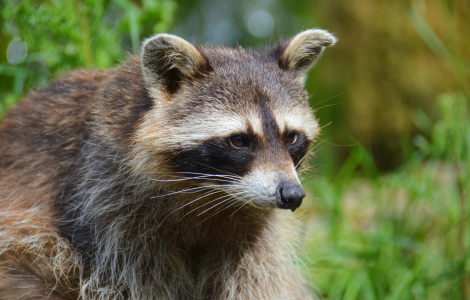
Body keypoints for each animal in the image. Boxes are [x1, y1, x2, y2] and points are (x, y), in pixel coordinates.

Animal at [0, 28, 334, 300]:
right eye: (239, 140)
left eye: (291, 137)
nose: (292, 194)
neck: (214, 198)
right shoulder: (105, 212)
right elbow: (138, 284)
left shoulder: (251, 236)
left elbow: (252, 281)